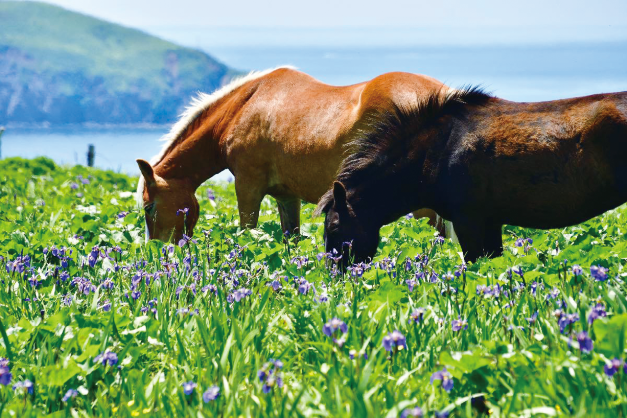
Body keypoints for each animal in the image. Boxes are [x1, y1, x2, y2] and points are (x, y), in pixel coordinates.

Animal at [137, 65, 452, 242]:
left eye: (148, 207)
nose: (158, 252)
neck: (243, 106)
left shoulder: (247, 187)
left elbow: (247, 232)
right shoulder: (286, 196)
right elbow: (292, 239)